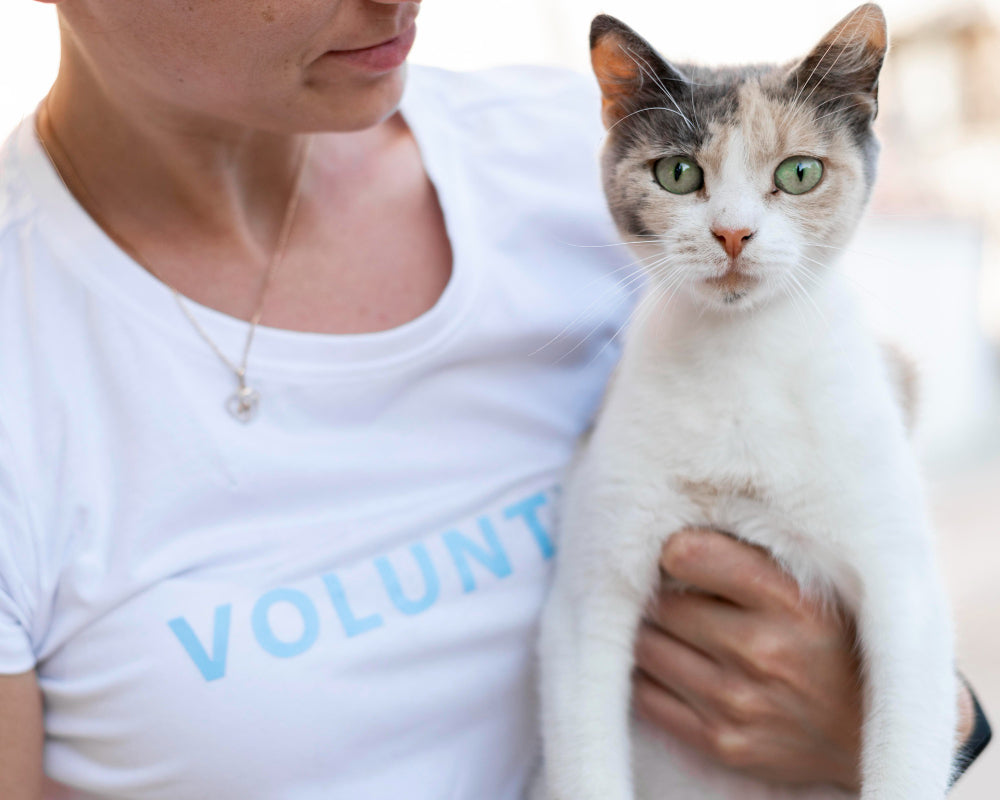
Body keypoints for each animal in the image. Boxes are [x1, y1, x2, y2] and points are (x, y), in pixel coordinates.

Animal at [536, 6, 956, 800]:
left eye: (799, 173)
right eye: (678, 173)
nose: (732, 233)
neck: (740, 359)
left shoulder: (906, 592)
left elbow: (908, 749)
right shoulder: (588, 597)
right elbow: (586, 753)